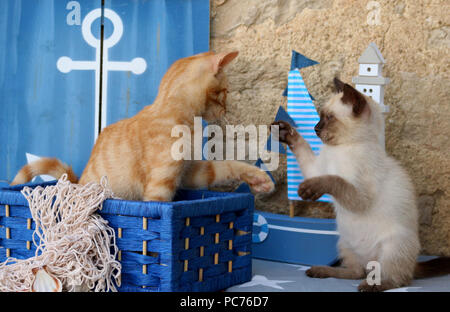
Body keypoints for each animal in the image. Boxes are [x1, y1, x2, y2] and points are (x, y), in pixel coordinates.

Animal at [11, 51, 274, 201]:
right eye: (226, 92)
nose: (227, 110)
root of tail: (76, 184)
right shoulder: (161, 184)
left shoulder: (190, 172)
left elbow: (224, 167)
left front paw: (258, 178)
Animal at [272, 78, 448, 292]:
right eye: (321, 117)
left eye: (329, 118)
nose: (315, 128)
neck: (342, 148)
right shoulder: (315, 170)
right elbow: (303, 149)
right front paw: (285, 132)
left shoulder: (359, 196)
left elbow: (335, 180)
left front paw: (309, 190)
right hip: (344, 243)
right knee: (357, 272)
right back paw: (321, 271)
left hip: (392, 246)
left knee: (396, 279)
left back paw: (371, 285)